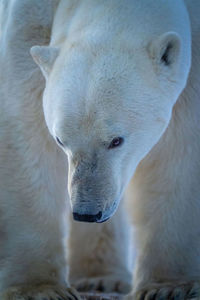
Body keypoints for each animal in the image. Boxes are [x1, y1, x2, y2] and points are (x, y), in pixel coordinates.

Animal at [0, 0, 199, 298]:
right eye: (60, 140)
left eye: (117, 140)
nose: (87, 212)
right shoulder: (27, 31)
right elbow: (27, 143)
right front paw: (39, 288)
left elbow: (179, 154)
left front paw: (170, 286)